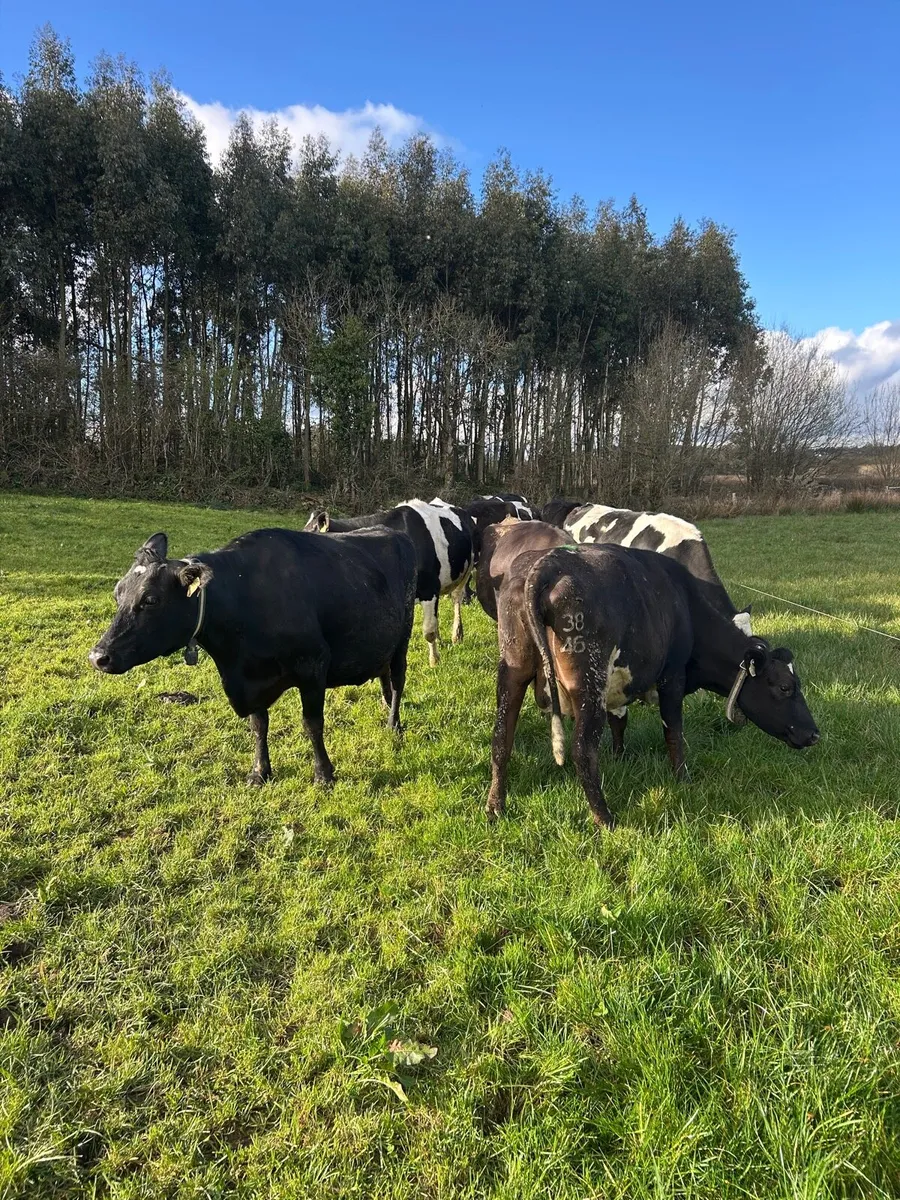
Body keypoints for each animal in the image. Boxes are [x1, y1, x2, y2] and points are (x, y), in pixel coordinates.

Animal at [88, 528, 417, 787]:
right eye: (117, 593)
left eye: (151, 599)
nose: (98, 656)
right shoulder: (249, 678)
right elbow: (258, 726)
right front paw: (260, 772)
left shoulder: (313, 665)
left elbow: (312, 723)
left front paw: (323, 775)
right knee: (384, 677)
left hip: (402, 639)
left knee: (397, 681)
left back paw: (394, 725)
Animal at [305, 500, 474, 665]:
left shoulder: (429, 588)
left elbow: (428, 631)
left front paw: (434, 661)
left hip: (467, 570)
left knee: (457, 599)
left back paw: (457, 634)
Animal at [487, 543, 819, 828]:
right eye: (785, 687)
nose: (814, 733)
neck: (686, 606)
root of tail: (549, 563)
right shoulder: (672, 677)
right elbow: (673, 731)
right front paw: (682, 778)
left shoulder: (621, 683)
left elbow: (619, 721)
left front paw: (619, 758)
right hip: (588, 684)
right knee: (583, 749)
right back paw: (604, 818)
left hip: (513, 671)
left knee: (502, 737)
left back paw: (495, 807)